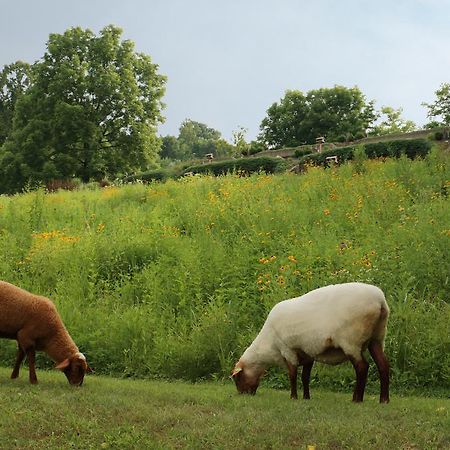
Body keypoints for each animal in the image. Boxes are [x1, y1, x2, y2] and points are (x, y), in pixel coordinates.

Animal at [232, 284, 390, 402]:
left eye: (237, 378)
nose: (243, 394)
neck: (268, 346)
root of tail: (380, 302)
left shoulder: (288, 350)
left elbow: (292, 375)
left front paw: (293, 397)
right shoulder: (308, 354)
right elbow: (305, 377)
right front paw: (306, 397)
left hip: (351, 342)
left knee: (362, 367)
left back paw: (357, 399)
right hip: (377, 338)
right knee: (383, 365)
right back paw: (384, 400)